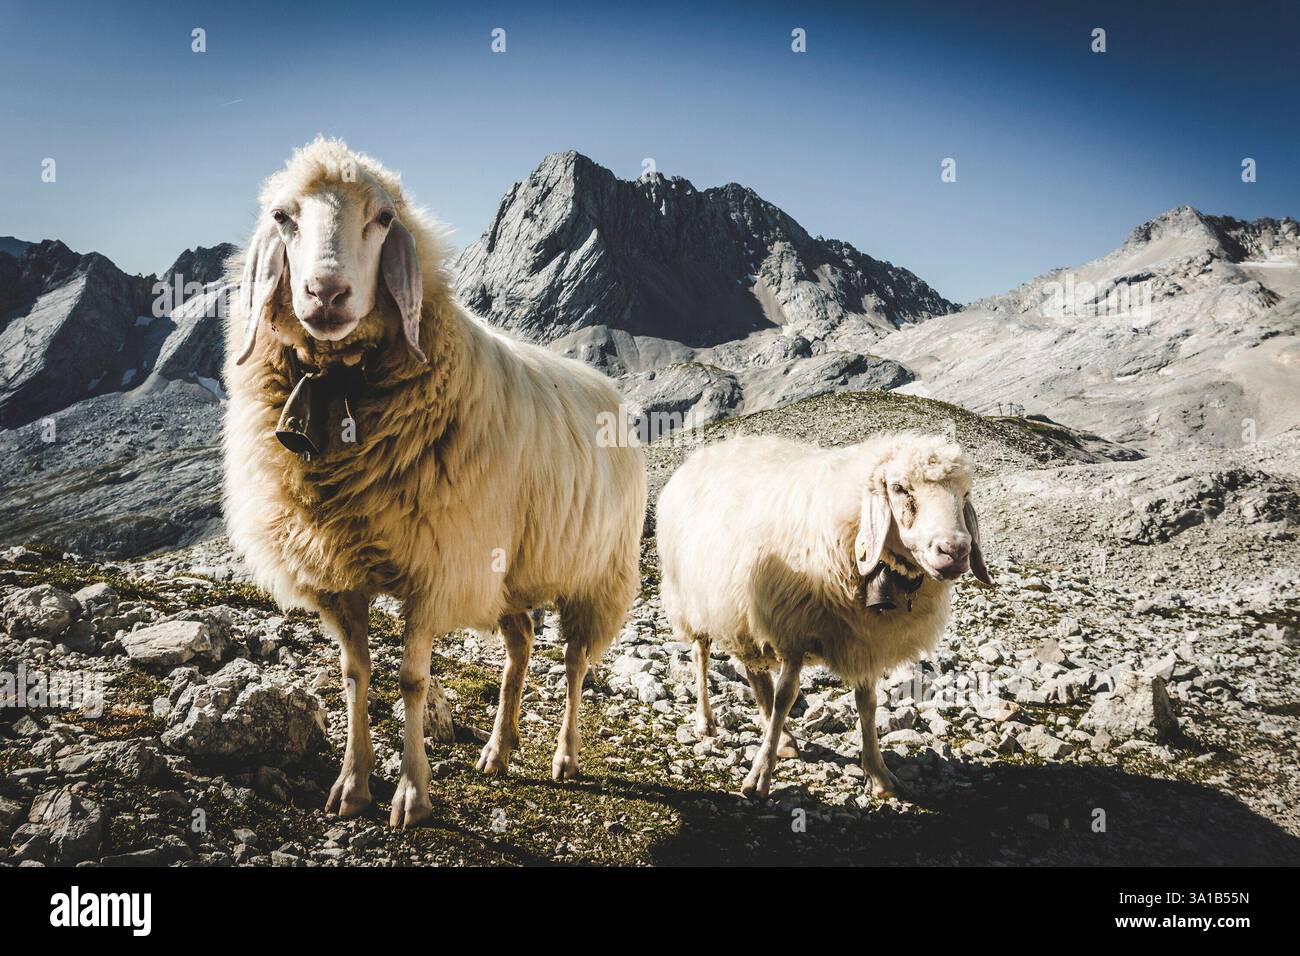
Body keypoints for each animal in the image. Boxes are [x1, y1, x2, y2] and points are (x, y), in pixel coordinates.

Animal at [222, 138, 647, 827]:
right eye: (283, 216)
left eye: (384, 218)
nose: (326, 293)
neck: (339, 386)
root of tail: (608, 387)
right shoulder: (339, 574)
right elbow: (354, 674)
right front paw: (352, 784)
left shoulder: (436, 566)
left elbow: (413, 681)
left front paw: (412, 794)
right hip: (510, 570)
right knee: (521, 643)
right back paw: (500, 748)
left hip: (595, 572)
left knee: (575, 662)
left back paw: (564, 755)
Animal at [655, 431, 991, 800]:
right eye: (900, 488)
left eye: (965, 493)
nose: (955, 551)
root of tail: (705, 452)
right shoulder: (793, 629)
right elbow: (786, 697)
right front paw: (760, 775)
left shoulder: (864, 641)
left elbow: (867, 703)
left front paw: (879, 774)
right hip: (692, 599)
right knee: (701, 656)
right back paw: (706, 721)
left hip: (741, 611)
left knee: (754, 671)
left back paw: (784, 739)